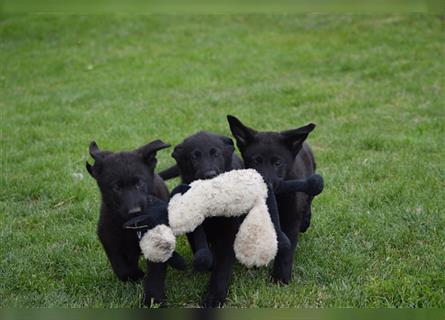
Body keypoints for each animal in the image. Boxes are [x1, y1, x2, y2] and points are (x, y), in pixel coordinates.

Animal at [86, 140, 185, 304]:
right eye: (116, 187)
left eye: (139, 183)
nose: (135, 211)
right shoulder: (107, 235)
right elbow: (121, 267)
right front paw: (134, 275)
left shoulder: (158, 240)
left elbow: (155, 274)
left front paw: (153, 299)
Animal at [159, 132, 243, 308]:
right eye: (194, 157)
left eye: (216, 154)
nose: (209, 175)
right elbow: (200, 246)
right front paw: (206, 262)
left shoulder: (230, 231)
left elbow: (223, 267)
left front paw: (214, 297)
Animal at [229, 114, 320, 284]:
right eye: (255, 161)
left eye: (277, 163)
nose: (265, 184)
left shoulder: (291, 219)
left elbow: (287, 250)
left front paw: (280, 278)